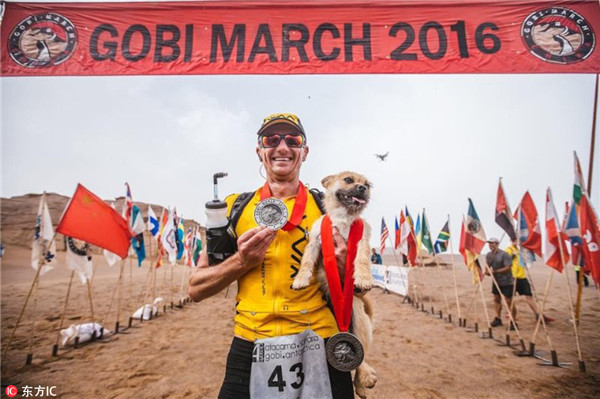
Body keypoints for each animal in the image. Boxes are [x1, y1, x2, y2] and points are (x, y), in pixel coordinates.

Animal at [292, 170, 378, 398]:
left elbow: (362, 260)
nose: (362, 188)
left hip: (359, 319)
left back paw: (364, 379)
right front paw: (300, 279)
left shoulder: (361, 242)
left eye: (367, 185)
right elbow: (305, 262)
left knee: (361, 358)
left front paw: (364, 278)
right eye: (348, 180)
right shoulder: (315, 242)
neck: (343, 218)